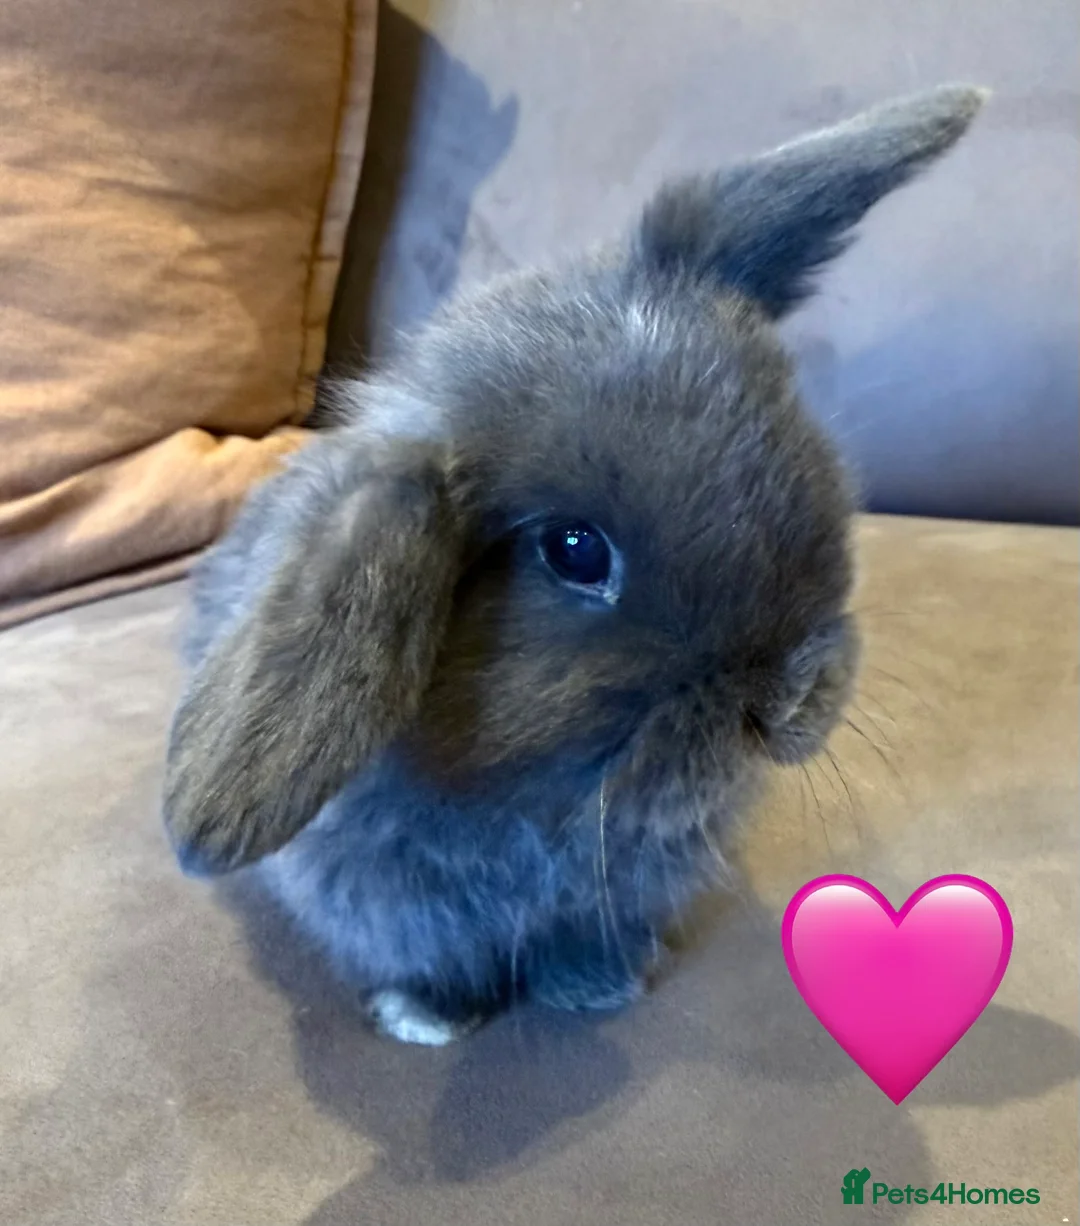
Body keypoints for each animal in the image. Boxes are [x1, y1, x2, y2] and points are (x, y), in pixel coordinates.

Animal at [162, 86, 987, 1045]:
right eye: (575, 550)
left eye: (794, 442)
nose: (790, 700)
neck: (551, 805)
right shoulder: (390, 901)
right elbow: (433, 962)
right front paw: (425, 1018)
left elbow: (585, 939)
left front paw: (597, 986)